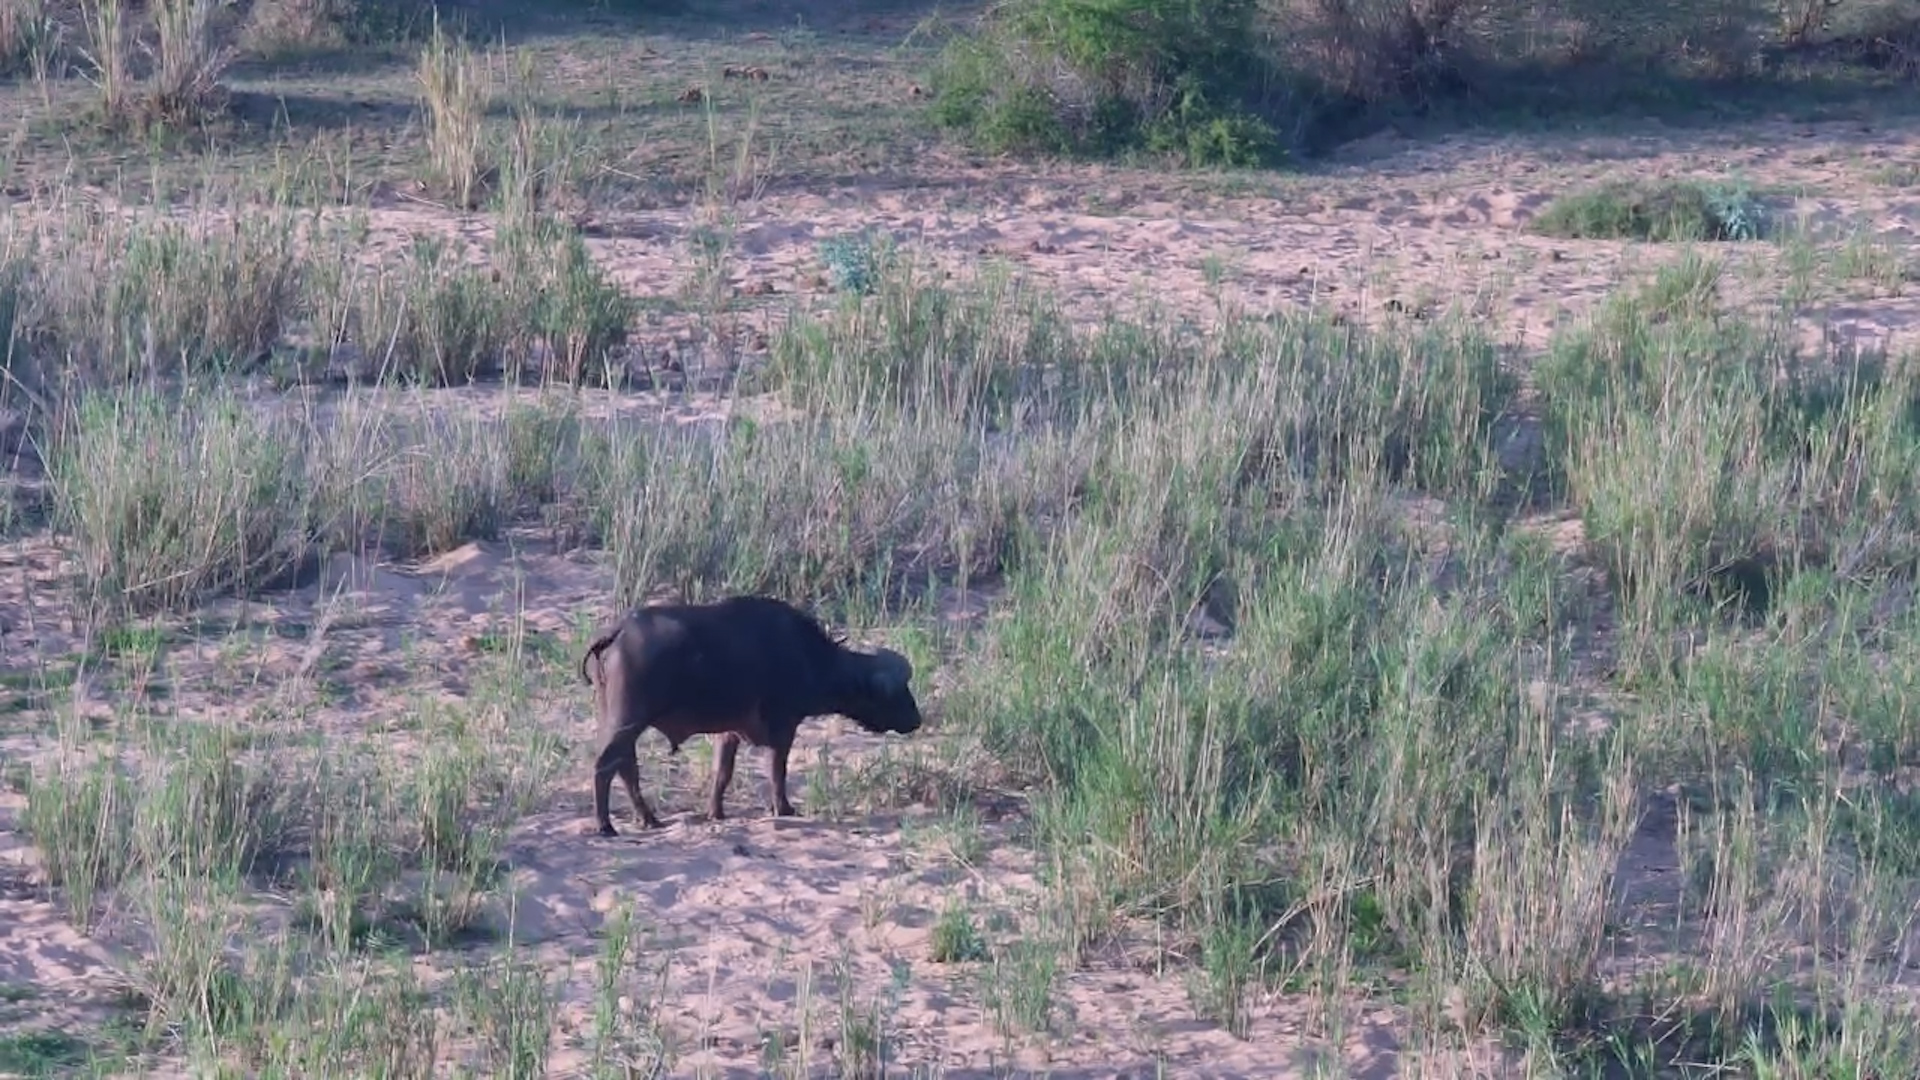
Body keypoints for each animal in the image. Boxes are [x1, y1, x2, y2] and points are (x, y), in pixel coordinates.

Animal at [578, 595, 924, 837]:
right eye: (897, 691)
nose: (916, 720)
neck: (810, 656)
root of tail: (619, 629)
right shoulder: (784, 727)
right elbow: (777, 772)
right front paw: (783, 808)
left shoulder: (729, 732)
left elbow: (722, 773)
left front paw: (716, 813)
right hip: (627, 722)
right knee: (604, 767)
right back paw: (605, 825)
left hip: (619, 723)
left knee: (625, 768)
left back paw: (648, 818)